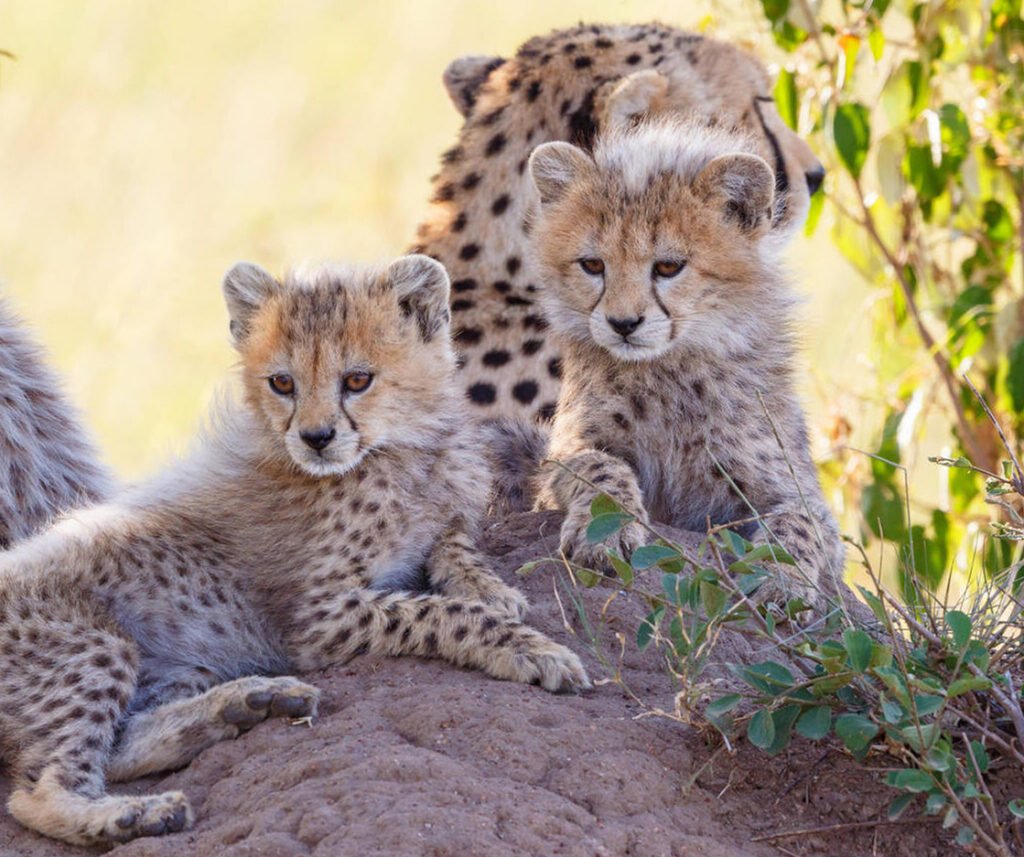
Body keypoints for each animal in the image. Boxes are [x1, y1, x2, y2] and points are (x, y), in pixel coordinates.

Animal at [523, 119, 845, 610]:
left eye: (668, 267)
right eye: (593, 264)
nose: (623, 324)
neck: (670, 370)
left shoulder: (794, 494)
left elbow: (801, 519)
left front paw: (783, 578)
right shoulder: (561, 460)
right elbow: (600, 467)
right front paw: (606, 534)